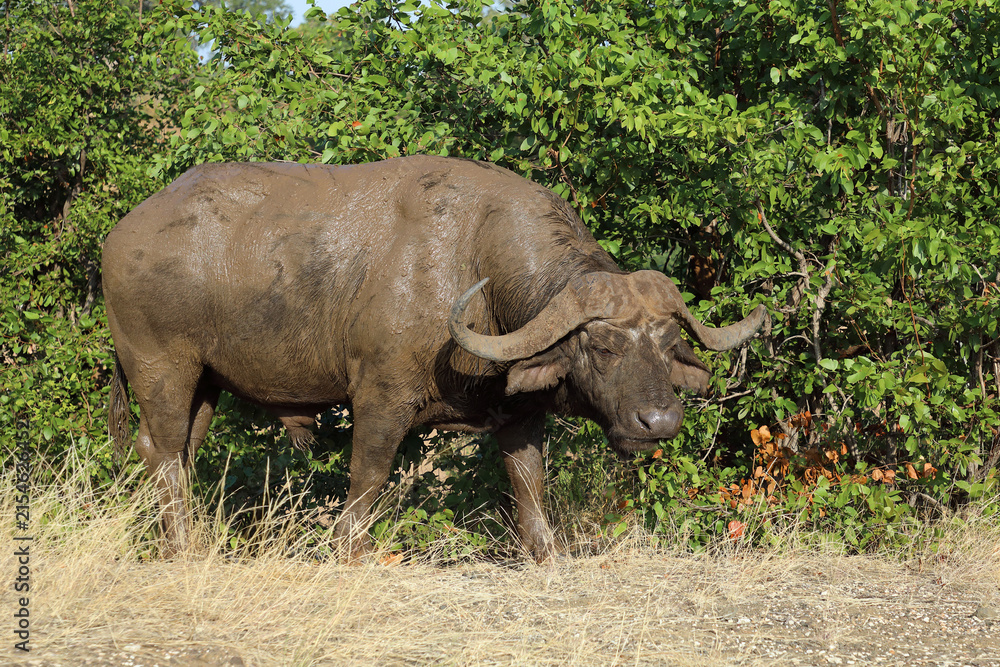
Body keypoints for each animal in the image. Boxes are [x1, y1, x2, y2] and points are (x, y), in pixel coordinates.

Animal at [103, 156, 765, 561]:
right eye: (602, 347)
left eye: (667, 343)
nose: (660, 422)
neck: (474, 261)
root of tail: (121, 236)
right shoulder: (379, 399)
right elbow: (368, 478)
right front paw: (349, 550)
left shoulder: (519, 416)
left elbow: (530, 486)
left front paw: (546, 554)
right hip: (163, 369)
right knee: (163, 453)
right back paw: (183, 547)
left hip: (205, 384)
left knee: (173, 454)